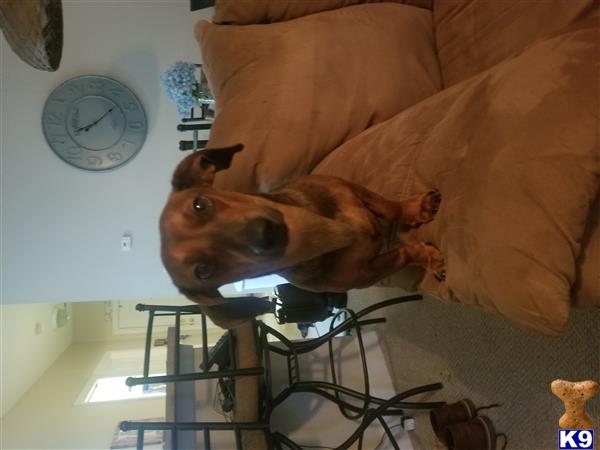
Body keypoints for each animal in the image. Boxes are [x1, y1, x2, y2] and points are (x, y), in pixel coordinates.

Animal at [161, 146, 446, 328]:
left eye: (200, 204)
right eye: (203, 270)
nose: (264, 234)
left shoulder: (348, 188)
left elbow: (391, 208)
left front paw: (415, 208)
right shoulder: (369, 272)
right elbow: (403, 254)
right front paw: (428, 258)